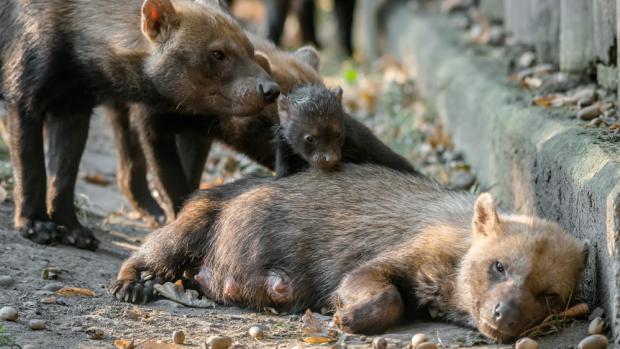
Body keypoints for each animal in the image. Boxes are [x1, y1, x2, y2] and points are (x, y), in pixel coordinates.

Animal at [0, 0, 276, 247]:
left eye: (251, 50)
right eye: (217, 54)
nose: (271, 89)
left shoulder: (74, 107)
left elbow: (64, 174)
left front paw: (71, 228)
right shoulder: (24, 98)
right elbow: (32, 168)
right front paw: (35, 224)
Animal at [111, 165, 588, 340]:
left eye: (549, 294)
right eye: (499, 265)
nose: (502, 316)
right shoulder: (384, 262)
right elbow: (385, 296)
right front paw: (342, 315)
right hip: (192, 226)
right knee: (149, 252)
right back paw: (132, 286)